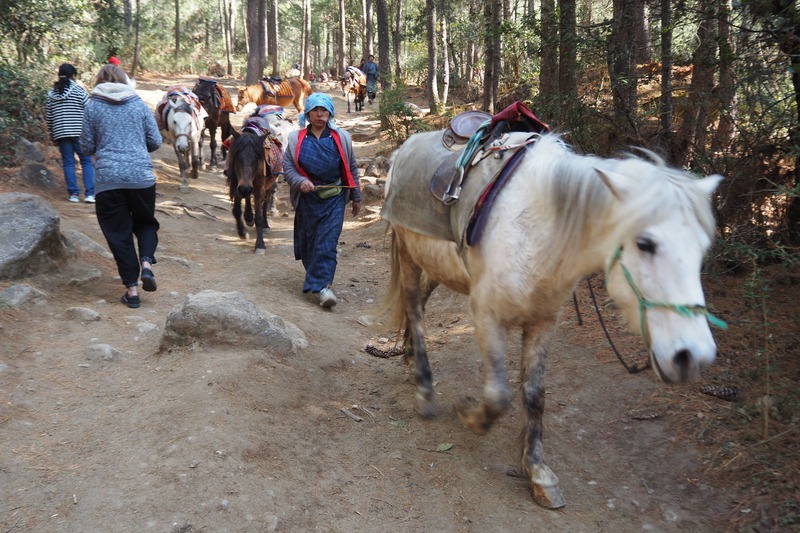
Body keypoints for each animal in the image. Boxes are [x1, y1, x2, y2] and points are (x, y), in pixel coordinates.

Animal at [382, 131, 724, 510]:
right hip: (407, 253)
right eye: (645, 243)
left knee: (422, 302)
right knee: (414, 306)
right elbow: (498, 396)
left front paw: (537, 473)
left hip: (434, 262)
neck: (537, 234)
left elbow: (534, 395)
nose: (692, 356)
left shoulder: (544, 321)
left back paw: (410, 355)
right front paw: (468, 413)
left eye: (702, 248)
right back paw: (424, 388)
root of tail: (405, 147)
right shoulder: (486, 316)